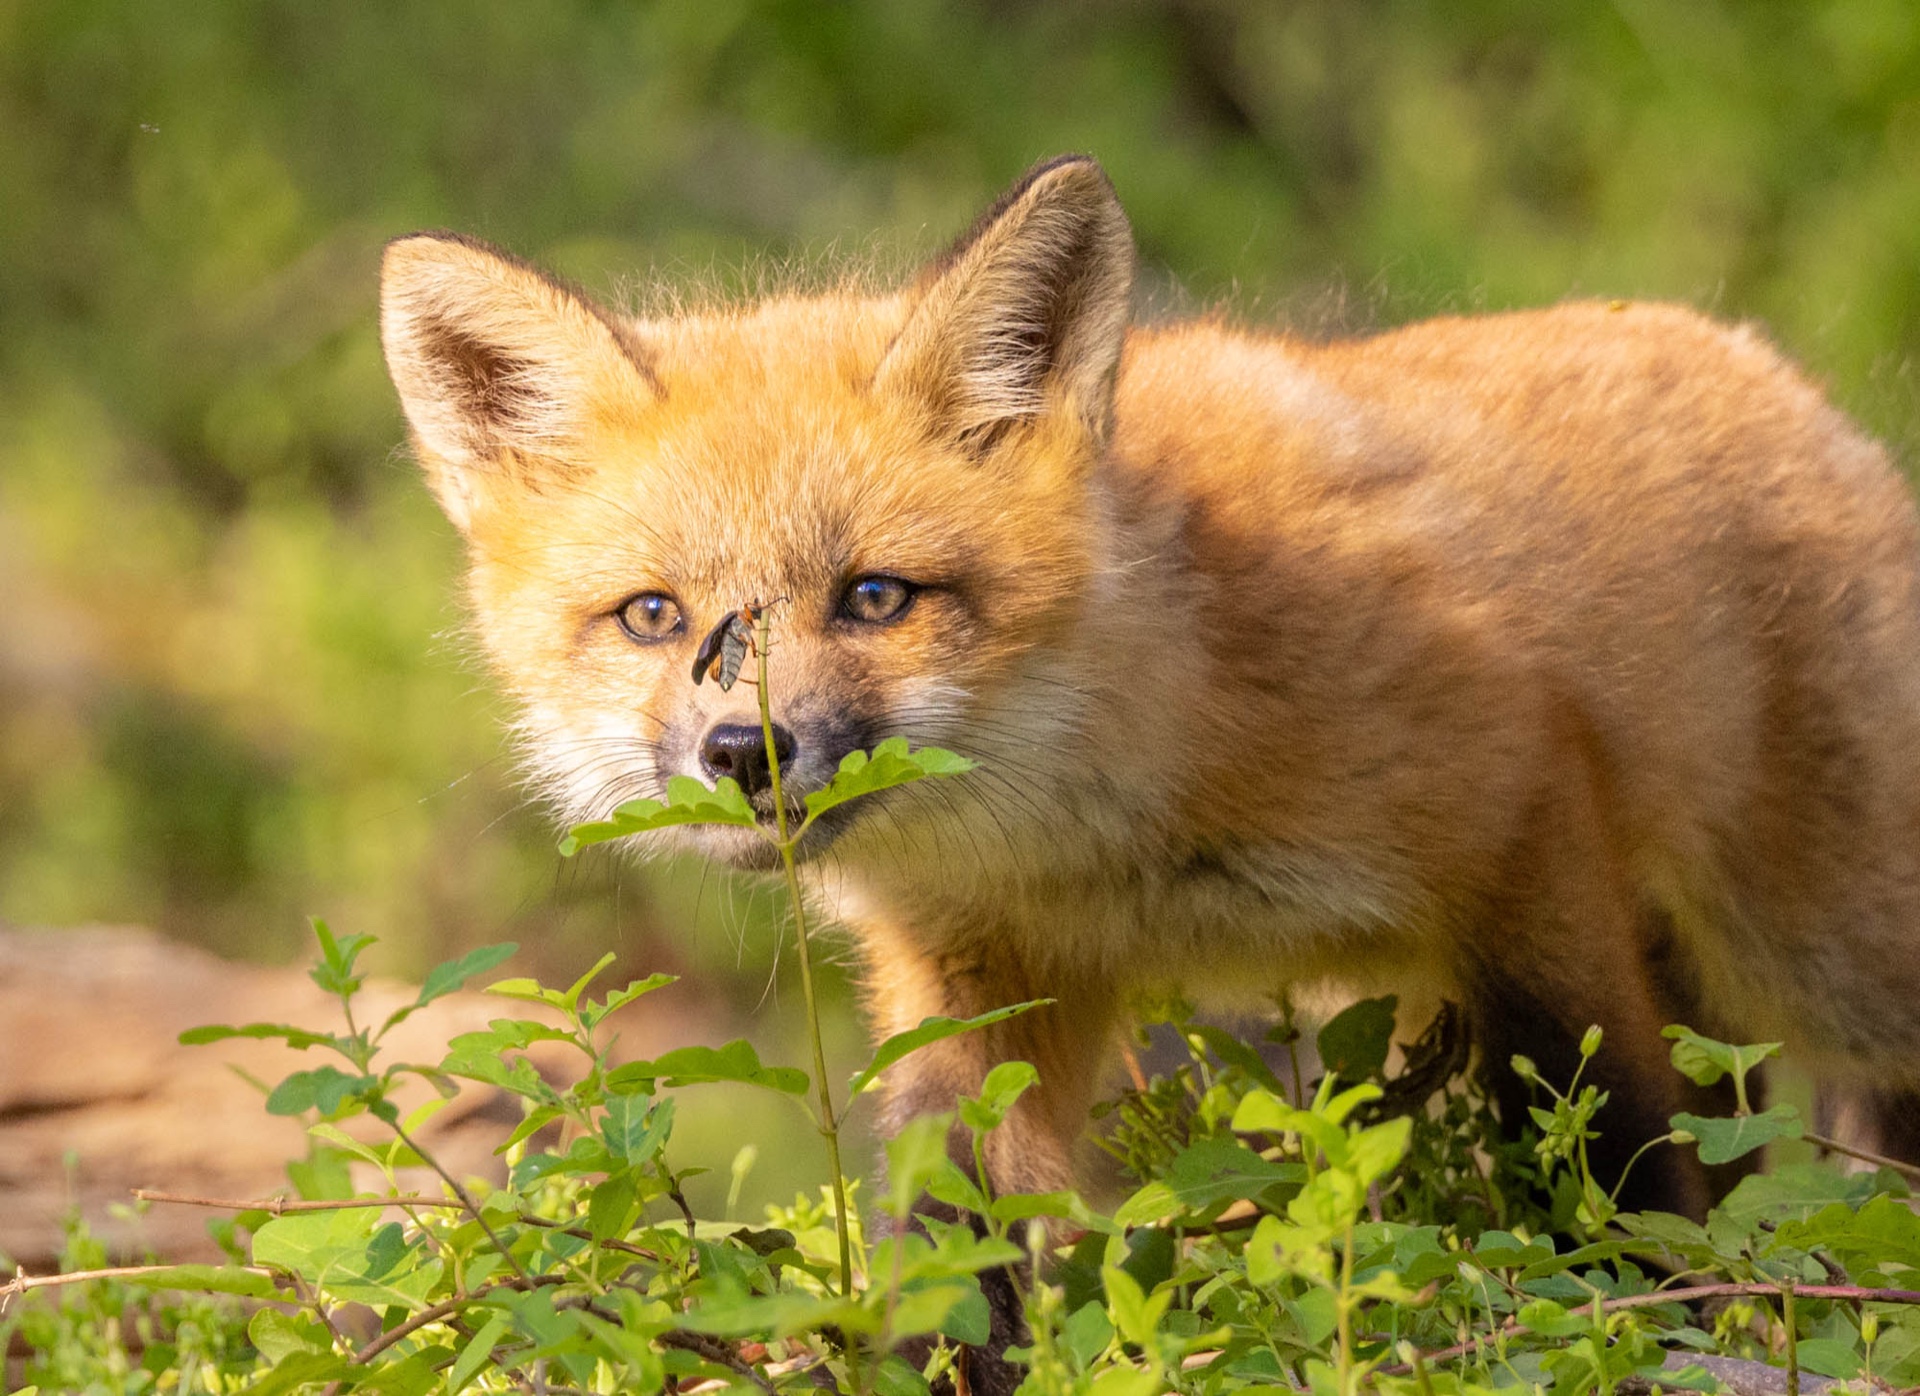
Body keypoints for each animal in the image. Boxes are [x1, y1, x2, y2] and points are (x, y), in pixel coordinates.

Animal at [380, 153, 1920, 1274]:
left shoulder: (1523, 818)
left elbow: (1619, 1164)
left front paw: (1662, 1310)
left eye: (876, 597)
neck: (1100, 813)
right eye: (654, 617)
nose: (745, 751)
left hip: (1829, 949)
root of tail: (1774, 368)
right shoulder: (977, 986)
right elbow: (955, 1249)